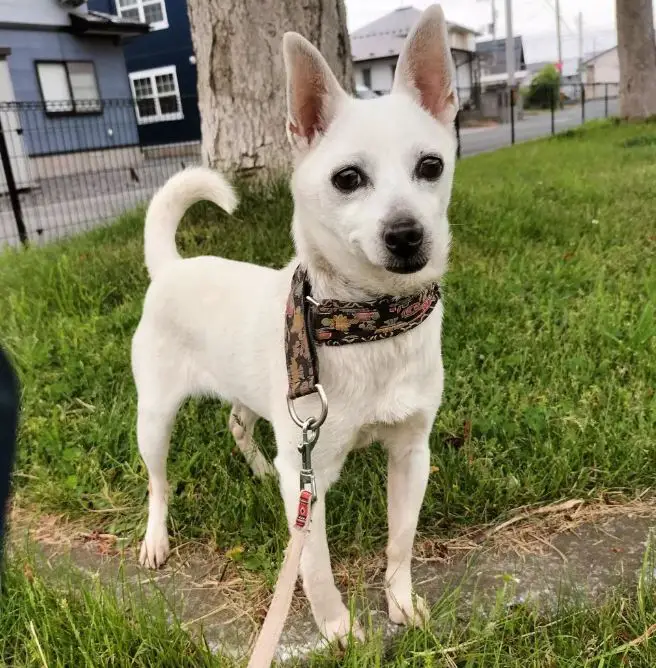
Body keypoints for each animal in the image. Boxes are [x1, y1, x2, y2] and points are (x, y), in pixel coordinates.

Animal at [131, 3, 458, 640]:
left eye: (431, 166)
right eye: (348, 178)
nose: (407, 235)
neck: (367, 321)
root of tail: (171, 266)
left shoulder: (411, 455)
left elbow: (401, 543)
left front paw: (401, 601)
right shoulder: (314, 477)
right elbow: (316, 567)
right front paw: (339, 632)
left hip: (260, 404)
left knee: (239, 425)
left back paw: (261, 471)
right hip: (154, 419)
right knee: (158, 481)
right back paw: (156, 537)